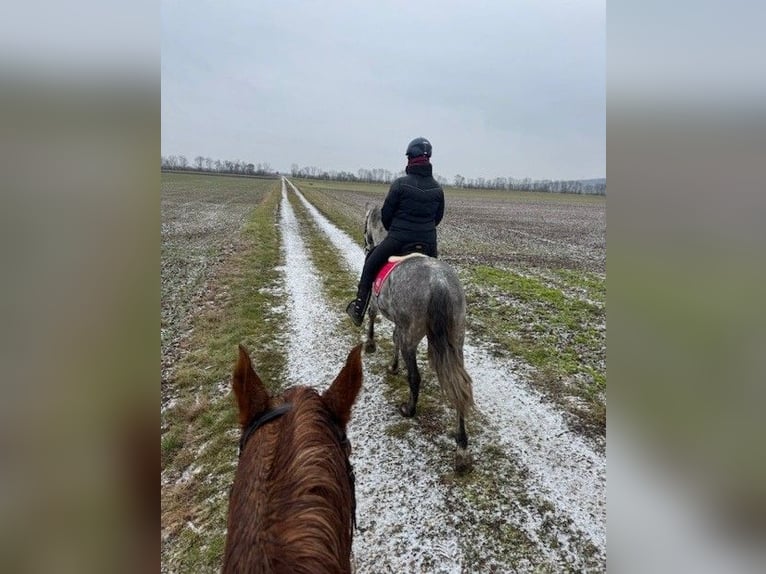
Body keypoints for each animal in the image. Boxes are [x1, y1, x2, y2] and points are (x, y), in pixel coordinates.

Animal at [364, 206, 476, 472]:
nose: (366, 241)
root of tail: (439, 283)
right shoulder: (400, 324)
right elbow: (393, 337)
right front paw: (392, 366)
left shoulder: (377, 304)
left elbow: (373, 319)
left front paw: (371, 345)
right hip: (456, 341)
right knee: (461, 386)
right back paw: (462, 448)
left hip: (413, 336)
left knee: (415, 377)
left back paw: (409, 409)